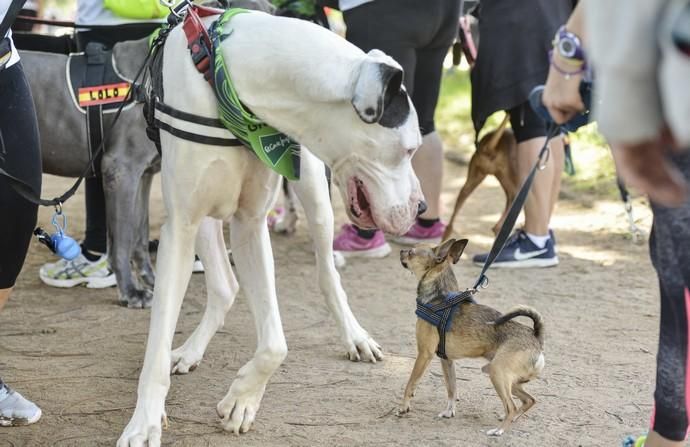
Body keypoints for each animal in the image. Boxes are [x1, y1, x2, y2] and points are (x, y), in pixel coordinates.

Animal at [117, 8, 424, 446]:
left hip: (314, 196)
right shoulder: (182, 228)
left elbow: (276, 345)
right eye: (409, 148)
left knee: (327, 277)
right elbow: (158, 344)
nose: (421, 207)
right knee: (224, 287)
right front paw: (146, 420)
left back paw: (355, 336)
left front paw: (241, 400)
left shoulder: (250, 225)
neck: (229, 78)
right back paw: (189, 351)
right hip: (204, 221)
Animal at [398, 240, 544, 436]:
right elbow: (452, 389)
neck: (440, 299)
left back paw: (499, 430)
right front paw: (449, 411)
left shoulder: (424, 355)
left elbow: (411, 382)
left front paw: (404, 407)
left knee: (512, 406)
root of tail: (536, 337)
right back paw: (510, 419)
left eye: (411, 252)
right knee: (529, 400)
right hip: (505, 378)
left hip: (497, 374)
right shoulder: (447, 361)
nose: (401, 250)